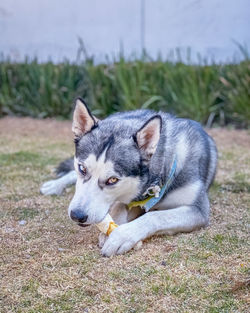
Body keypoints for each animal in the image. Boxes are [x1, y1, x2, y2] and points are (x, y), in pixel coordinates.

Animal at [40, 97, 217, 256]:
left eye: (112, 180)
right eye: (82, 168)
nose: (77, 215)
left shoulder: (198, 211)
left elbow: (156, 216)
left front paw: (122, 235)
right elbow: (118, 210)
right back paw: (55, 185)